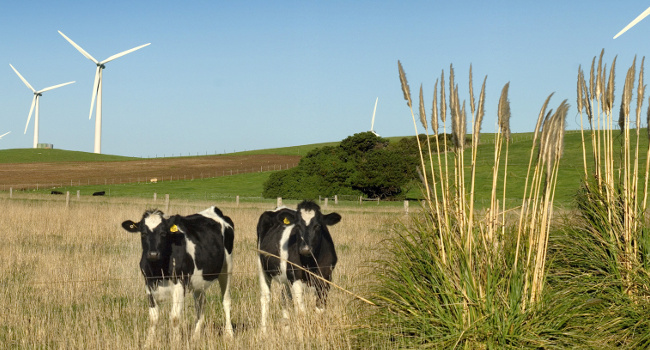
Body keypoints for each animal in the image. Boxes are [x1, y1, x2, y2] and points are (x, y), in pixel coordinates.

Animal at [120, 205, 234, 342]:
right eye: (143, 233)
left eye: (163, 233)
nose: (153, 254)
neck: (158, 271)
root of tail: (214, 209)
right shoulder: (148, 283)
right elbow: (153, 318)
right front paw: (149, 342)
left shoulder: (179, 283)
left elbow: (174, 317)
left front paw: (175, 342)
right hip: (199, 280)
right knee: (201, 304)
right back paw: (195, 336)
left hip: (227, 268)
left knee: (226, 301)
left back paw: (229, 334)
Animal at [256, 200, 342, 330]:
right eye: (297, 226)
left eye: (318, 226)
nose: (305, 249)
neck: (310, 263)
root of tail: (280, 208)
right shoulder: (295, 277)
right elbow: (301, 312)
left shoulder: (326, 278)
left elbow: (320, 310)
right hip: (262, 268)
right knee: (266, 298)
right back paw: (264, 331)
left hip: (284, 277)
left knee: (285, 298)